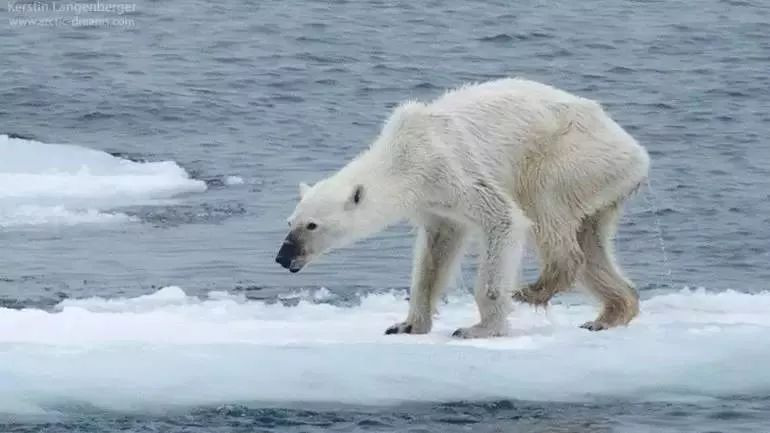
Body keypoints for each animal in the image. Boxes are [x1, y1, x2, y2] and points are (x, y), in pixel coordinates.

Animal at [276, 77, 648, 338]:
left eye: (312, 225)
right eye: (290, 221)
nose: (283, 257)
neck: (404, 155)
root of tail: (637, 152)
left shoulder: (451, 169)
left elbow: (503, 219)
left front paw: (479, 328)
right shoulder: (433, 203)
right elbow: (436, 253)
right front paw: (406, 324)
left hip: (571, 156)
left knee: (546, 206)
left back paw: (533, 289)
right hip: (601, 183)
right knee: (592, 241)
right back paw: (610, 313)